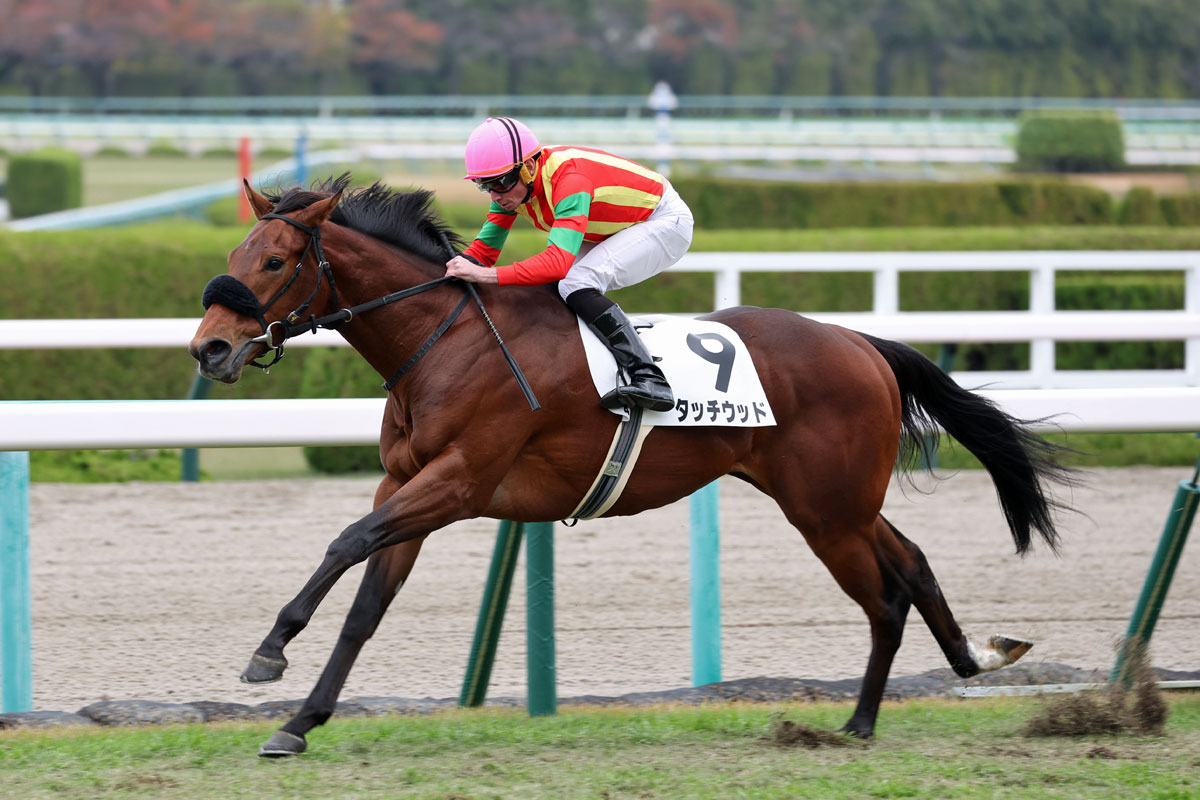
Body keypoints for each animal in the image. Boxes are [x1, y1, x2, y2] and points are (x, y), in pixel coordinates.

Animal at [189, 175, 1071, 757]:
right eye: (236, 249)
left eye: (275, 262)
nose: (210, 349)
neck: (443, 340)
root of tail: (861, 341)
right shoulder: (406, 485)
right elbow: (368, 604)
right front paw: (299, 723)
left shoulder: (459, 483)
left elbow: (345, 541)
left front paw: (270, 651)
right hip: (835, 499)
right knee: (911, 561)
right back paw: (969, 660)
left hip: (826, 508)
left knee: (884, 594)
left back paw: (857, 723)